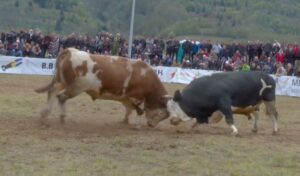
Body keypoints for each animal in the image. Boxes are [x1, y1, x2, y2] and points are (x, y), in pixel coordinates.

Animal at [34, 47, 170, 126]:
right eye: (162, 113)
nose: (151, 125)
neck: (145, 75)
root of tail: (72, 51)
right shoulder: (138, 97)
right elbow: (139, 111)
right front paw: (136, 125)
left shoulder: (126, 98)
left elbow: (128, 109)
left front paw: (125, 121)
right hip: (75, 87)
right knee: (61, 97)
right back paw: (62, 118)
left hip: (61, 81)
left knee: (52, 92)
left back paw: (44, 115)